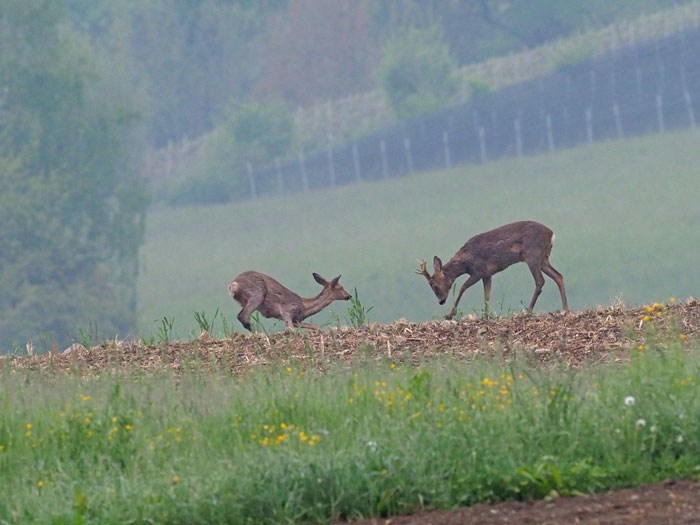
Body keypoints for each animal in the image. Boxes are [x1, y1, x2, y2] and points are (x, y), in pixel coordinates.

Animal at [416, 220, 569, 319]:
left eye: (435, 285)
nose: (441, 301)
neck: (465, 262)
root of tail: (552, 234)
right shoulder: (487, 274)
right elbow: (487, 294)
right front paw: (486, 314)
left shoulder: (478, 270)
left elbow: (463, 288)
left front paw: (449, 315)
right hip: (544, 258)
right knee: (558, 276)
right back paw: (565, 309)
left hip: (532, 254)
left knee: (540, 280)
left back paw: (528, 311)